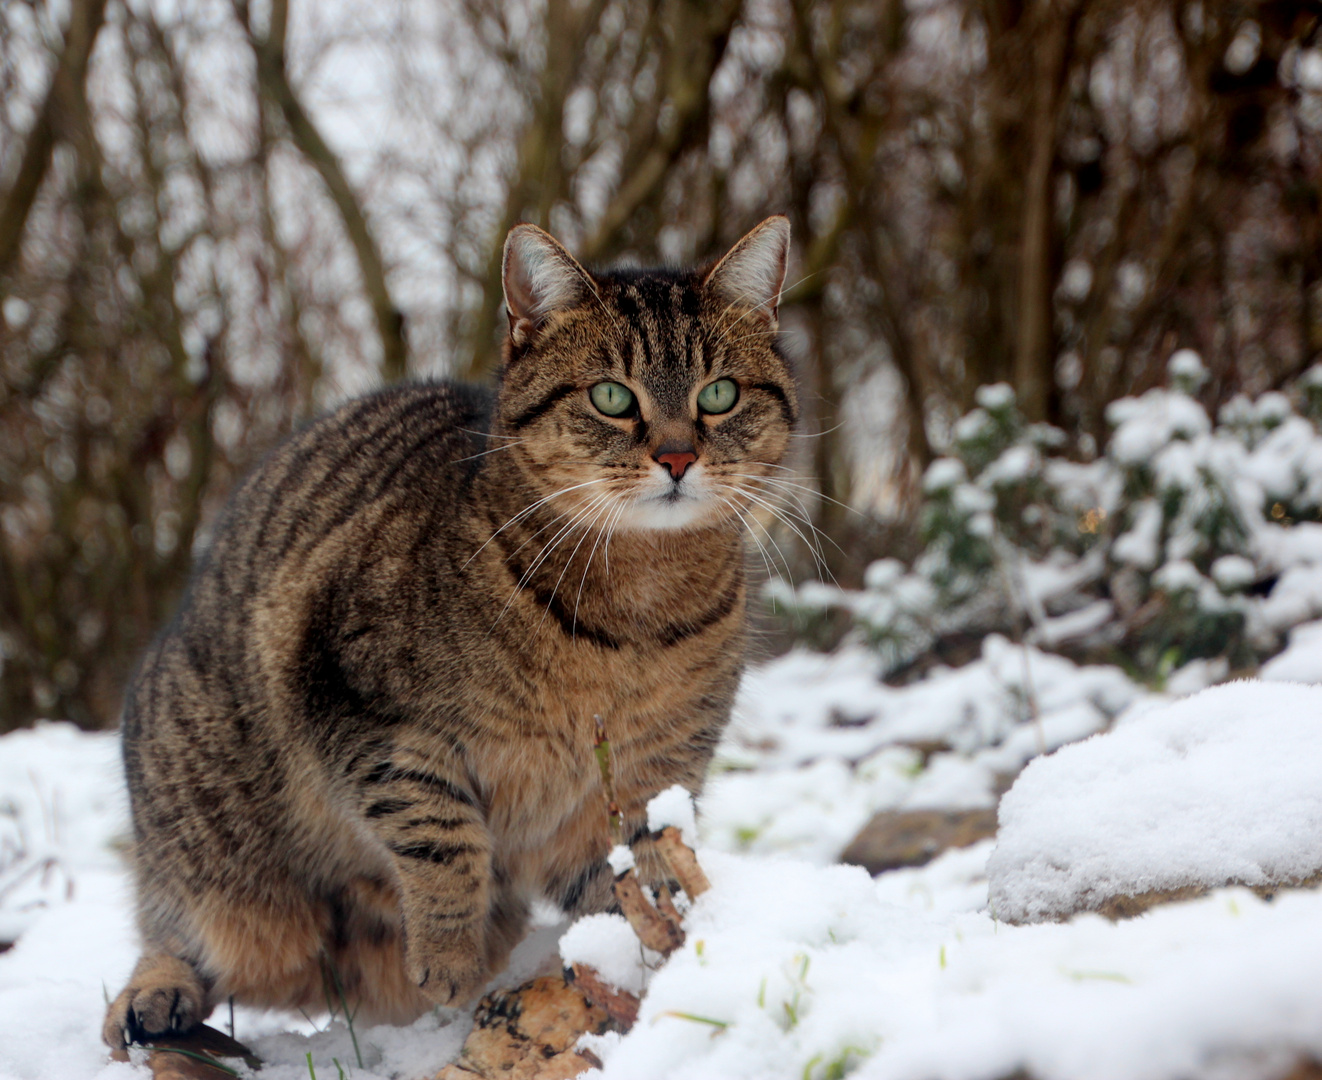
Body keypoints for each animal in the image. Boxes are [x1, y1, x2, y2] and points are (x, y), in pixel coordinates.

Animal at [100, 215, 793, 1046]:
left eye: (719, 394)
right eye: (611, 396)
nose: (678, 456)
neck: (635, 610)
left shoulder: (650, 775)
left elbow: (643, 869)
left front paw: (672, 964)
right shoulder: (361, 706)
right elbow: (440, 829)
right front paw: (449, 952)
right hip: (203, 834)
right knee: (173, 929)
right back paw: (154, 996)